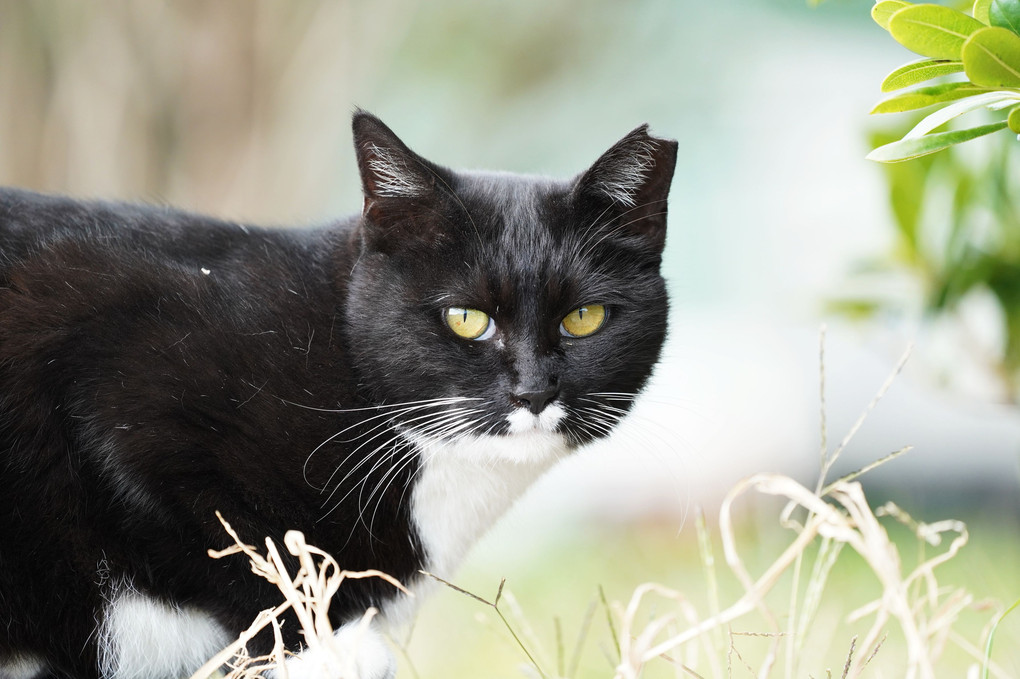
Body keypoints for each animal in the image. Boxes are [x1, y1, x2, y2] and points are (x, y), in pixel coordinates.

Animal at [0, 112, 677, 676]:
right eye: (466, 319)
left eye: (584, 318)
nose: (533, 391)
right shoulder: (116, 360)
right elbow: (235, 547)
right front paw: (322, 644)